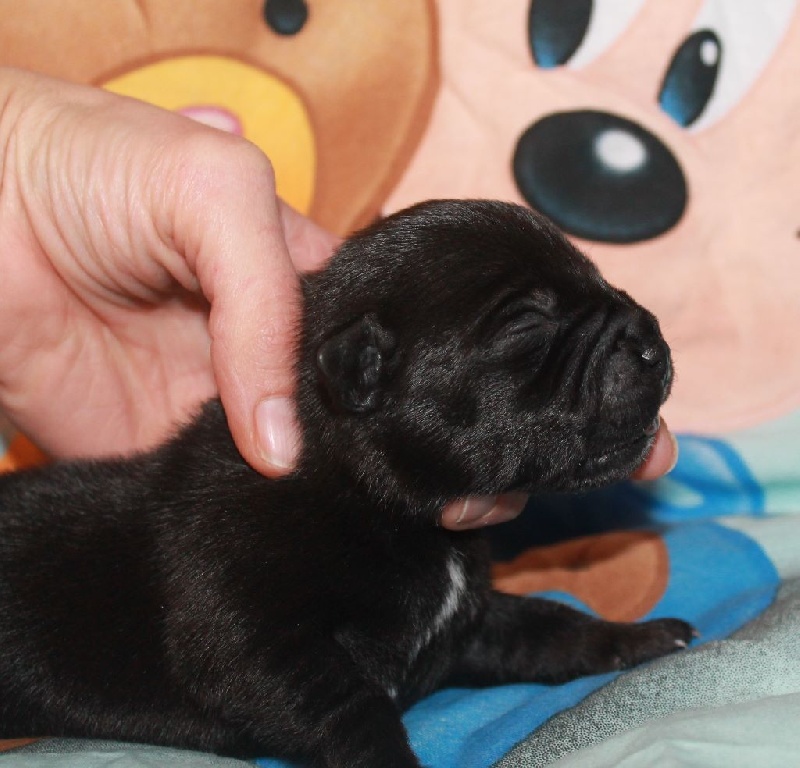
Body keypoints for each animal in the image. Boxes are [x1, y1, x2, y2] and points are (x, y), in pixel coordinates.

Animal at [0, 200, 693, 767]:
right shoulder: (255, 640)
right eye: (526, 324)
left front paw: (632, 636)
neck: (369, 494)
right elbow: (351, 712)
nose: (653, 340)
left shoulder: (471, 624)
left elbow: (549, 626)